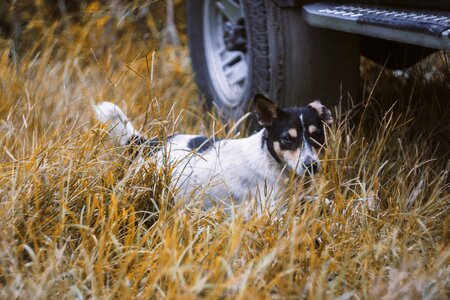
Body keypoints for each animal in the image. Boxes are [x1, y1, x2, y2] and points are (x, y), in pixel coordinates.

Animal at [94, 94, 334, 211]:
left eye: (317, 137)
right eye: (287, 139)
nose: (311, 165)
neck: (270, 158)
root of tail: (146, 144)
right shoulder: (273, 210)